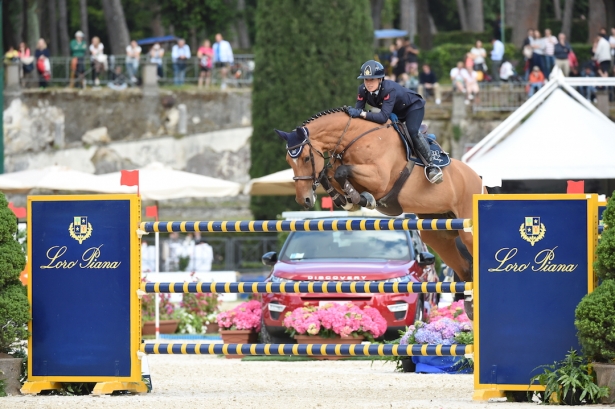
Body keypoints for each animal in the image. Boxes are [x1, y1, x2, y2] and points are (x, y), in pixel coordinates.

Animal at [276, 106, 486, 316]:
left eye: (305, 158)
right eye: (288, 161)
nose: (303, 200)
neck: (353, 138)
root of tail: (478, 179)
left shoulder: (379, 178)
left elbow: (341, 172)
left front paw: (362, 198)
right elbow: (330, 174)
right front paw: (347, 201)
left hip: (467, 230)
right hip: (438, 235)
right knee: (465, 268)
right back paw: (470, 305)